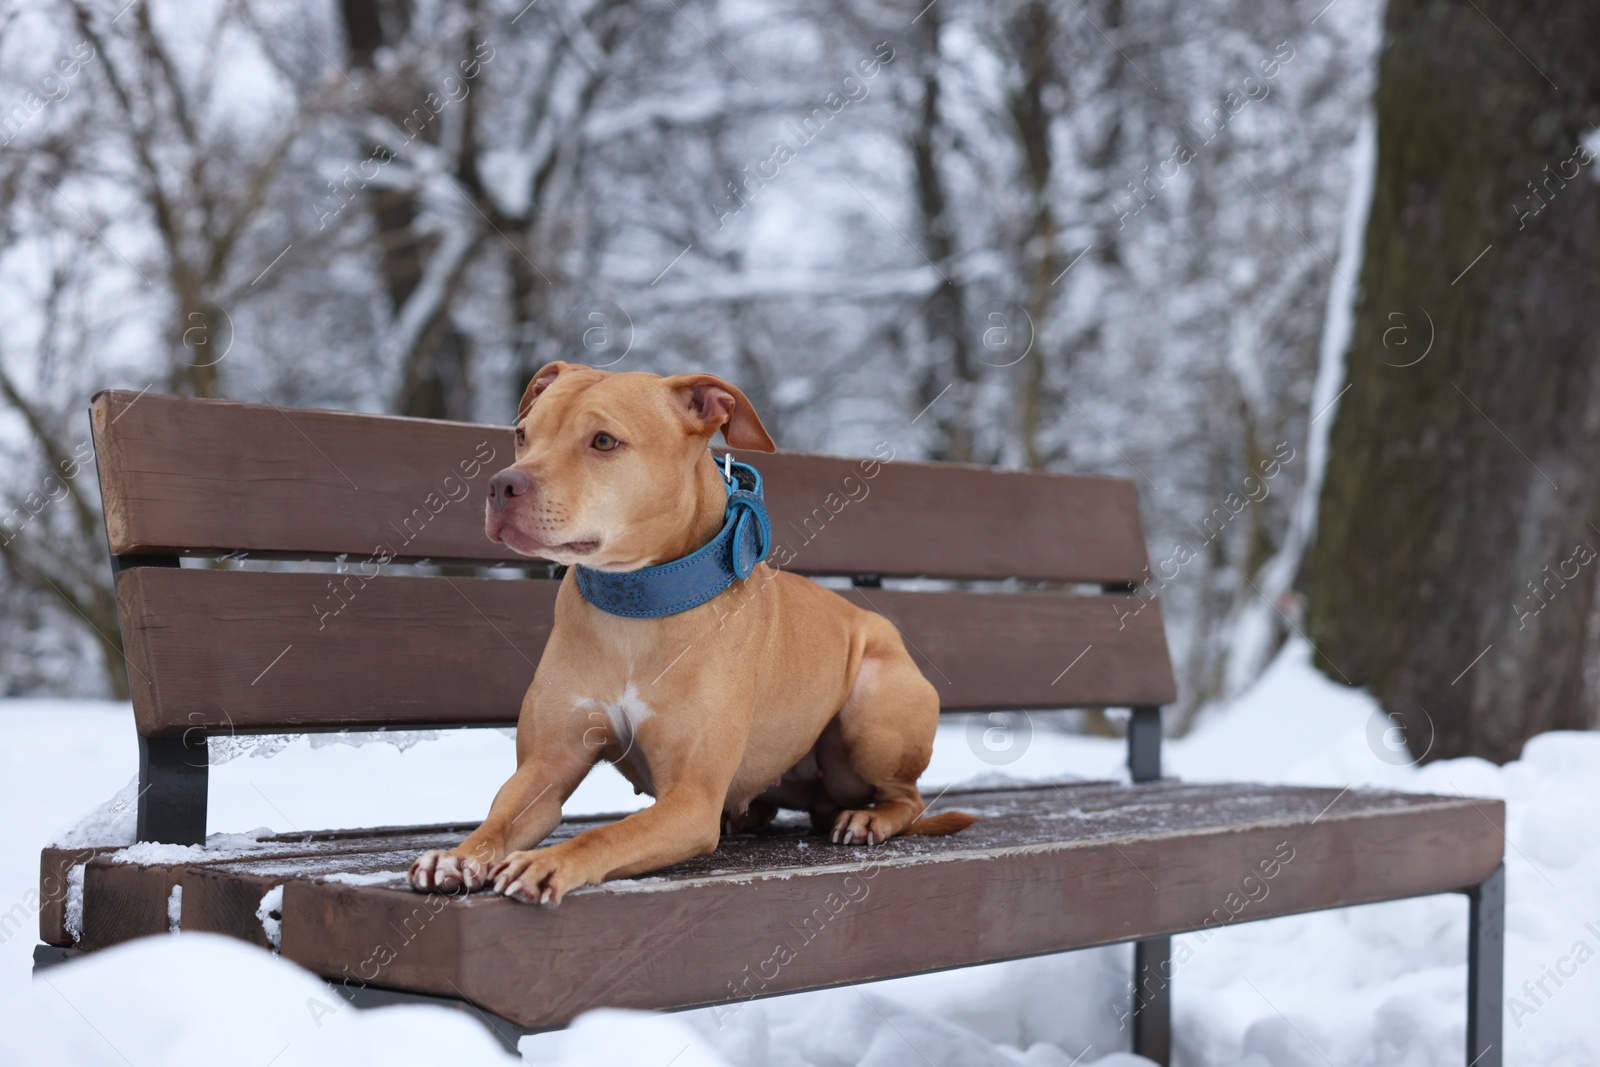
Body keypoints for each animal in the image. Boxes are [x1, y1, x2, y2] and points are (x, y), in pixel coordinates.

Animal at [406, 363, 966, 908]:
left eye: (603, 441)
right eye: (522, 435)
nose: (502, 485)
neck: (637, 604)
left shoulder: (690, 801)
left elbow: (606, 834)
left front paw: (548, 863)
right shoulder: (545, 768)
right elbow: (503, 816)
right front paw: (459, 855)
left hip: (872, 711)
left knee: (907, 797)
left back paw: (870, 818)